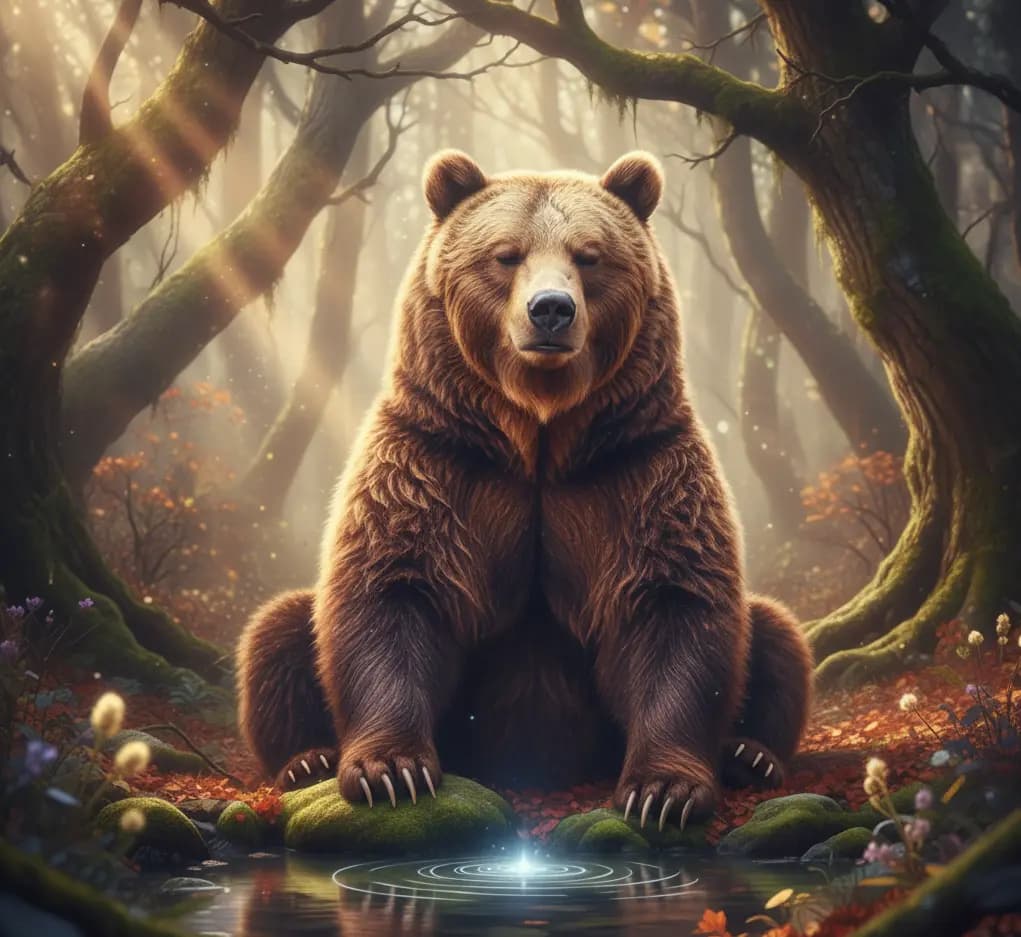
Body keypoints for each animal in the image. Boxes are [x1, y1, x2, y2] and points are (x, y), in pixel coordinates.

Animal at [237, 150, 813, 829]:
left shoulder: (636, 466)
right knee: (277, 630)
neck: (538, 432)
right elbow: (391, 591)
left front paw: (663, 791)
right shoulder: (436, 459)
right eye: (505, 254)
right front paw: (391, 772)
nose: (551, 309)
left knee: (776, 632)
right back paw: (307, 759)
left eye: (589, 255)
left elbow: (675, 603)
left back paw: (752, 755)